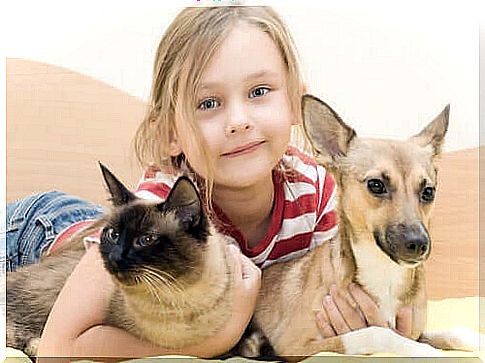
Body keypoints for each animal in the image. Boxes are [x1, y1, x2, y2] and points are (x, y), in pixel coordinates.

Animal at [246, 95, 480, 360]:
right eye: (376, 185)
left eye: (428, 191)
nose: (419, 244)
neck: (385, 272)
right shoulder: (296, 346)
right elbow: (377, 332)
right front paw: (426, 352)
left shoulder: (415, 331)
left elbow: (449, 332)